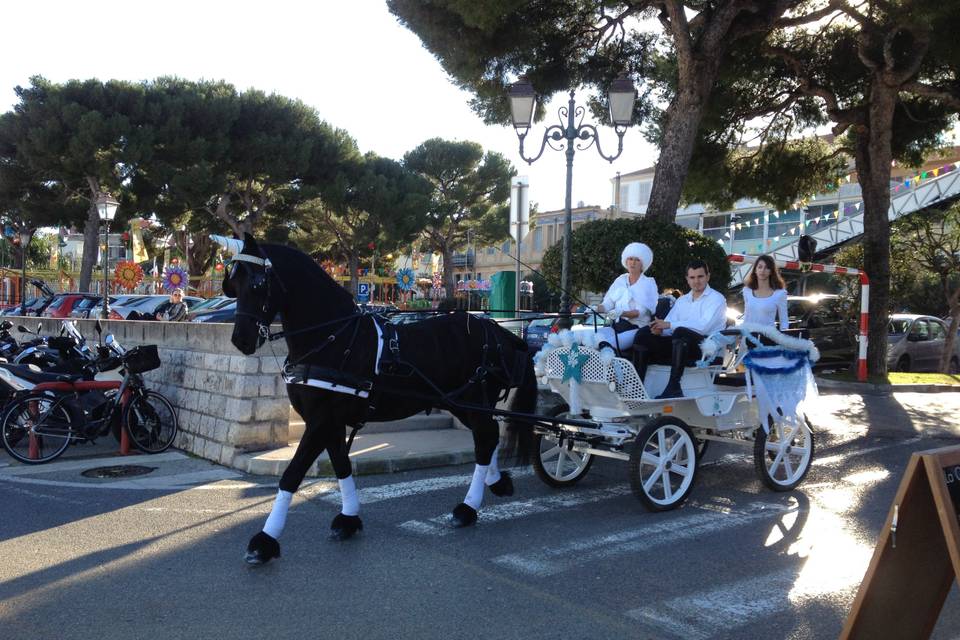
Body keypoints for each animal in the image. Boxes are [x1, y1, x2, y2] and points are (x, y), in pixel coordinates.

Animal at [219, 236, 540, 564]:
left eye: (258, 283)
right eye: (232, 284)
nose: (240, 340)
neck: (334, 337)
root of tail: (497, 330)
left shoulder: (321, 421)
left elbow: (292, 475)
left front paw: (265, 540)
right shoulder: (330, 423)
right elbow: (341, 464)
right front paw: (349, 518)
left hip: (471, 400)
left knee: (485, 439)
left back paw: (468, 506)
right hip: (460, 403)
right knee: (487, 436)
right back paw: (495, 483)